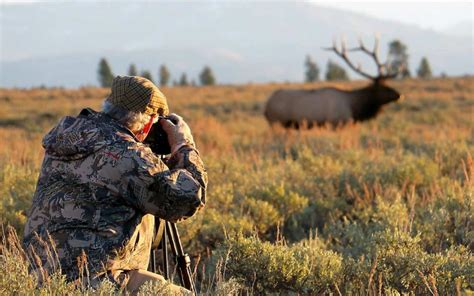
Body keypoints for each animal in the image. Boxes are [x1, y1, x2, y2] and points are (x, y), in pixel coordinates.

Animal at [262, 38, 404, 128]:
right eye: (383, 87)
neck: (355, 108)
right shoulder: (336, 123)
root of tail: (266, 107)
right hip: (276, 122)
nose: (399, 95)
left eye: (387, 83)